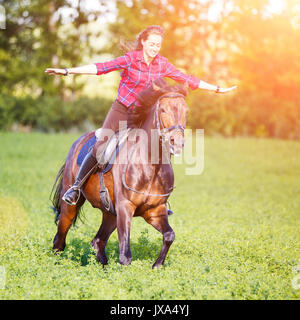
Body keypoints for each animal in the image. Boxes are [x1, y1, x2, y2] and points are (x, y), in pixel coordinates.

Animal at [50, 79, 189, 268]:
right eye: (163, 110)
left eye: (186, 111)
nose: (178, 142)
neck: (151, 164)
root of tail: (79, 140)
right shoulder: (125, 208)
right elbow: (125, 256)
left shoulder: (154, 211)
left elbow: (169, 235)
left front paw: (156, 266)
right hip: (71, 206)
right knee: (60, 238)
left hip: (109, 213)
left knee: (98, 241)